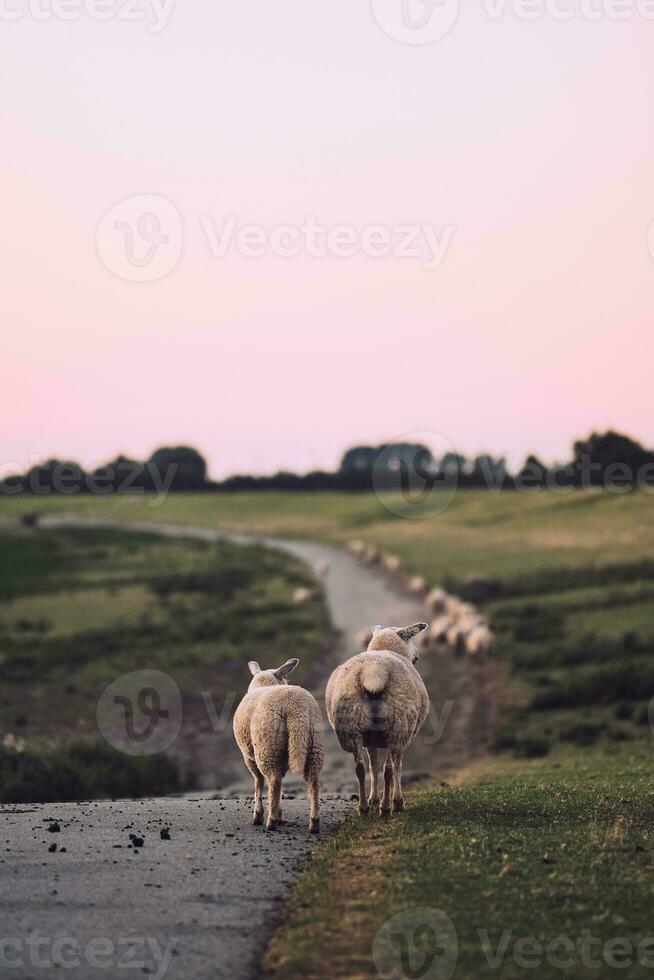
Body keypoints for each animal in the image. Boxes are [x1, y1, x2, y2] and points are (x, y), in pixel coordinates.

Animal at [233, 660, 326, 836]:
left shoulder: (248, 756)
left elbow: (258, 781)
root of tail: (295, 708)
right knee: (313, 782)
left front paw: (259, 815)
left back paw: (271, 821)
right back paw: (314, 823)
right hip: (314, 745)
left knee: (273, 782)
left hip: (267, 746)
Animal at [326, 624, 430, 816]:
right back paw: (387, 807)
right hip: (397, 726)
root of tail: (374, 672)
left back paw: (364, 808)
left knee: (360, 767)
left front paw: (373, 800)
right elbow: (397, 767)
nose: (417, 657)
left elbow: (373, 767)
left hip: (351, 727)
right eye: (409, 637)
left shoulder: (370, 739)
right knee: (389, 769)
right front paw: (397, 801)